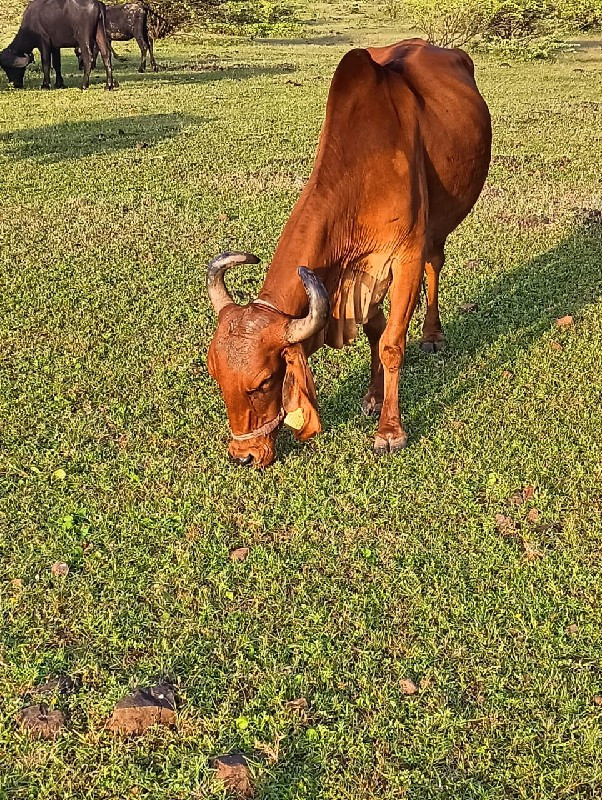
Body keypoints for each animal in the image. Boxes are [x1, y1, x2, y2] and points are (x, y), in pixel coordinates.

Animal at [204, 42, 490, 468]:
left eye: (265, 381)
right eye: (216, 376)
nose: (244, 456)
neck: (364, 166)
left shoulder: (404, 255)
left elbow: (391, 344)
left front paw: (390, 431)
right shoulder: (358, 272)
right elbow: (374, 329)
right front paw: (372, 397)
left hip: (438, 224)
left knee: (435, 263)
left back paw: (432, 334)